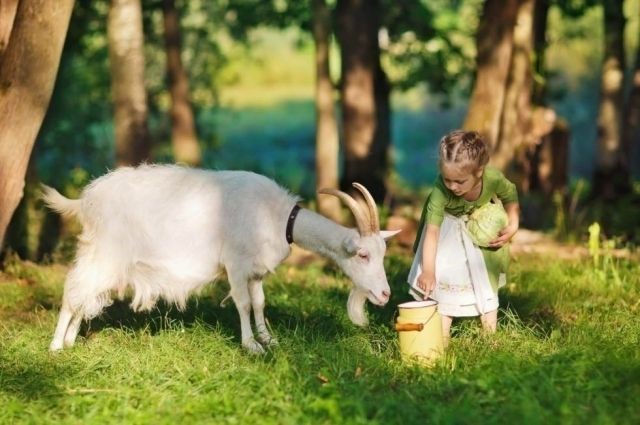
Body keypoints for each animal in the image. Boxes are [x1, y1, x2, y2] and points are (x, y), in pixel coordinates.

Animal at [42, 164, 398, 352]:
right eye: (363, 254)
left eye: (382, 253)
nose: (385, 294)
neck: (277, 216)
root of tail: (86, 201)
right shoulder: (236, 264)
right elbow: (243, 304)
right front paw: (251, 345)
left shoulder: (255, 270)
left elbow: (259, 303)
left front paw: (269, 338)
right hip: (106, 253)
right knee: (73, 290)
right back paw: (56, 347)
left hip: (103, 258)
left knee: (85, 294)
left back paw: (70, 340)